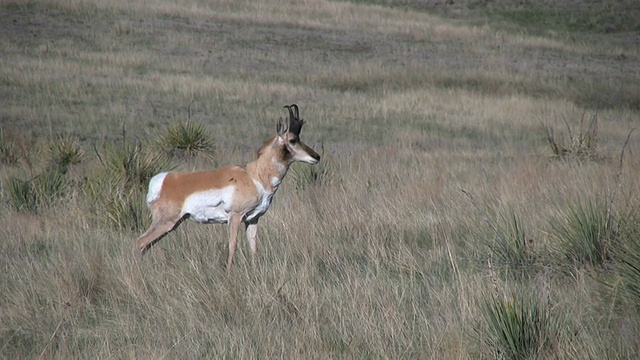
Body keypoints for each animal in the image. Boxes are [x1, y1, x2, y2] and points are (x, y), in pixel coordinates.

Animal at [138, 104, 322, 270]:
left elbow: (253, 247)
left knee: (146, 245)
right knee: (141, 242)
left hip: (173, 223)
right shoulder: (235, 216)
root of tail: (162, 179)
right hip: (166, 222)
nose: (317, 157)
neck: (254, 176)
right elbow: (233, 245)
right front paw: (228, 272)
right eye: (293, 140)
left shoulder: (253, 219)